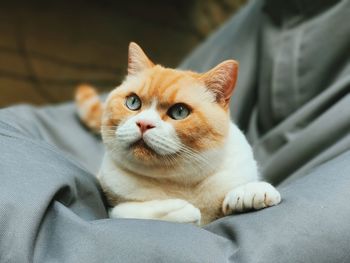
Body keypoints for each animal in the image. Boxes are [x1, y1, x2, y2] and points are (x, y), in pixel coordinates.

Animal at [76, 42, 282, 226]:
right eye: (133, 102)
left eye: (180, 111)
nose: (144, 124)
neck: (180, 182)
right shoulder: (113, 205)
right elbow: (127, 211)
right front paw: (180, 210)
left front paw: (251, 192)